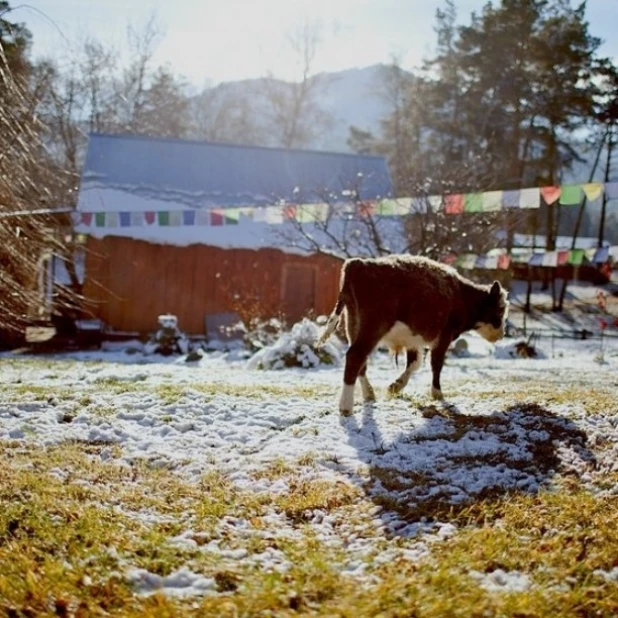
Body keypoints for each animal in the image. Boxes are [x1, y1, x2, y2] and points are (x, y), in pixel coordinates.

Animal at [316, 253, 508, 416]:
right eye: (500, 310)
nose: (502, 334)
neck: (460, 295)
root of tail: (357, 264)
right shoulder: (443, 337)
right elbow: (436, 364)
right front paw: (437, 393)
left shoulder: (413, 340)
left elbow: (414, 364)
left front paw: (395, 386)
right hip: (371, 329)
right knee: (355, 356)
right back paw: (346, 406)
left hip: (353, 326)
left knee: (360, 362)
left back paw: (369, 394)